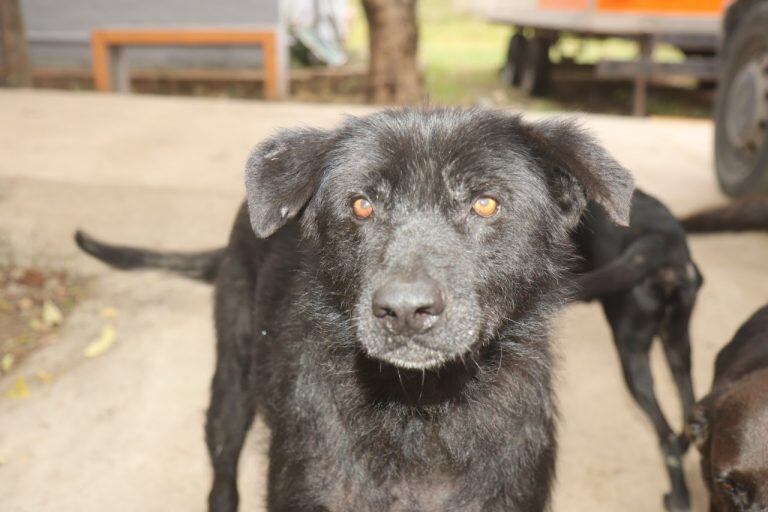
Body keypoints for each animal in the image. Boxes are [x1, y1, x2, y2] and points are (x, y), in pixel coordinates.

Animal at [568, 190, 704, 510]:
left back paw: (678, 498)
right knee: (686, 409)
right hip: (677, 342)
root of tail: (661, 241)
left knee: (666, 437)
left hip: (631, 351)